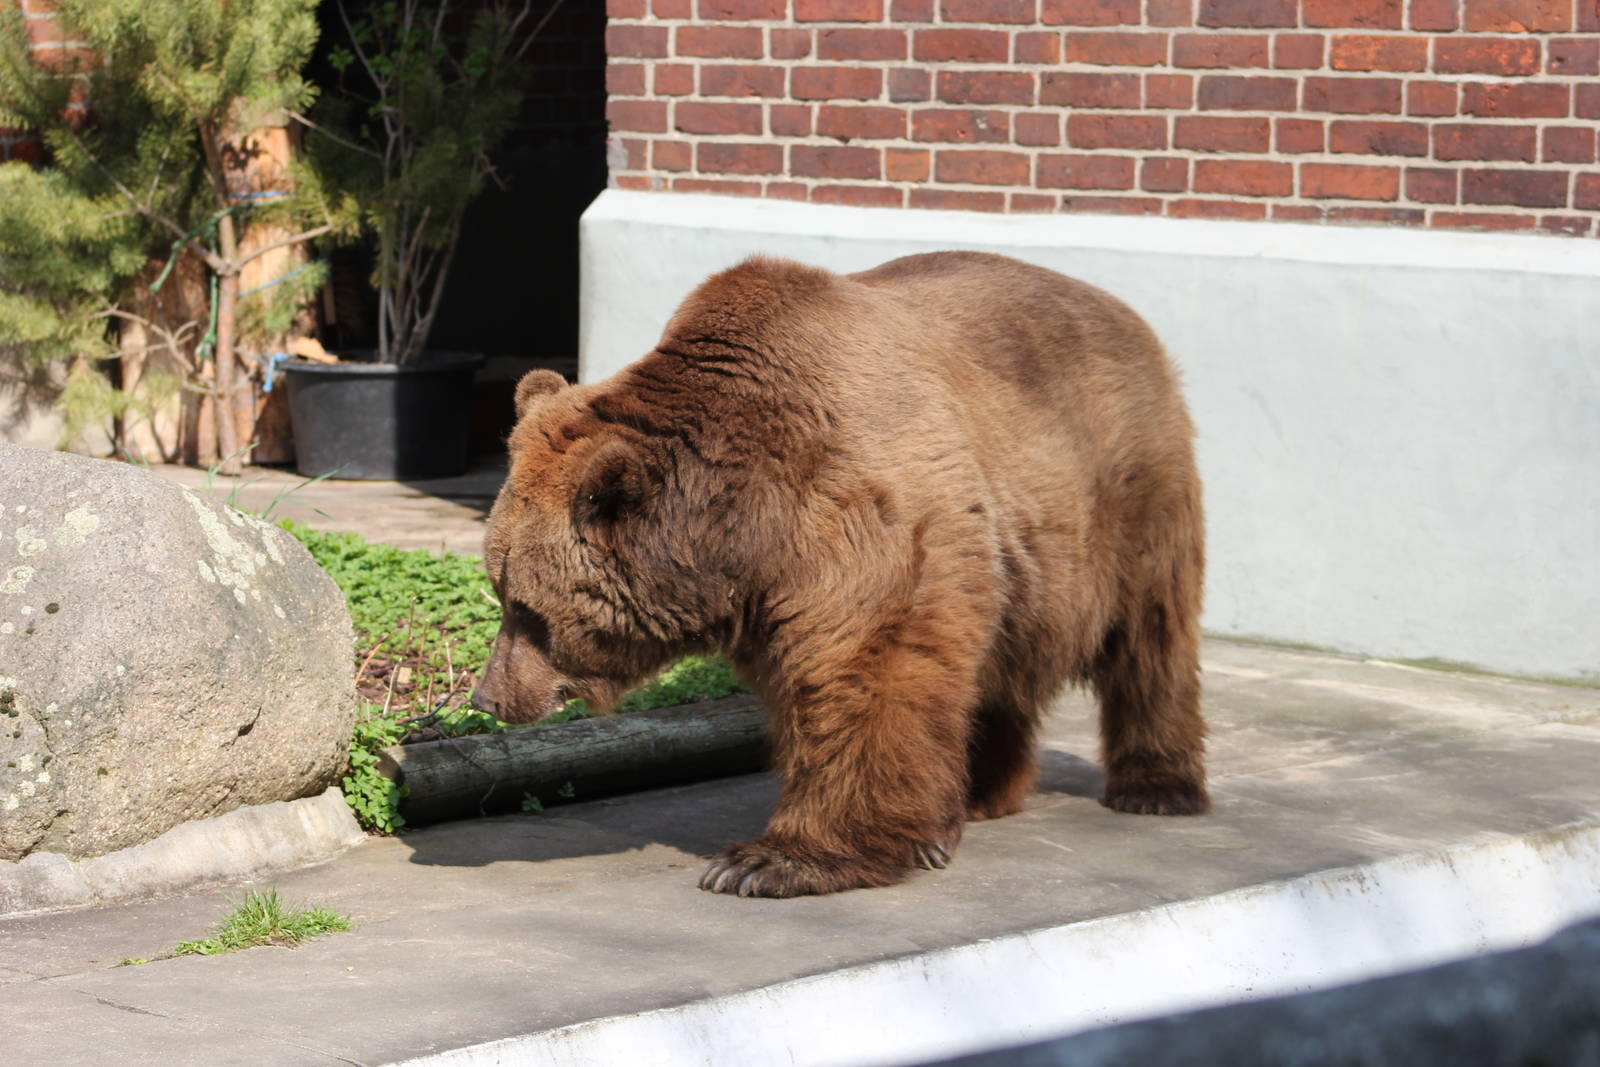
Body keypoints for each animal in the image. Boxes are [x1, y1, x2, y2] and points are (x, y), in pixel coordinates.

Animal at [472, 251, 1207, 898]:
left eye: (526, 607)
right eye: (500, 592)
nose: (488, 698)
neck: (740, 526)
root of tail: (1118, 305)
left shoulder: (859, 510)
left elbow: (865, 669)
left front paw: (767, 863)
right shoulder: (774, 583)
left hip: (1123, 491)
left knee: (1150, 635)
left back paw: (1156, 785)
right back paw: (977, 793)